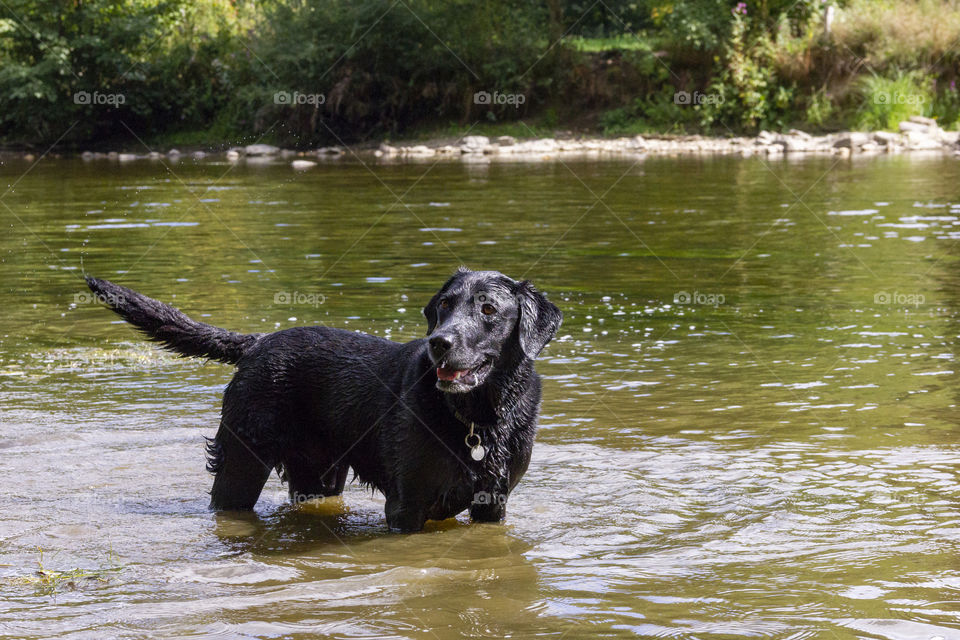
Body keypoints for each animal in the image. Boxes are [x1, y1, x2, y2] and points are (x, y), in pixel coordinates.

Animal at [86, 268, 564, 532]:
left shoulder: (494, 504)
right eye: (444, 306)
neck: (479, 417)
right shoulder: (405, 506)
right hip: (241, 462)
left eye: (488, 310)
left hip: (319, 477)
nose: (439, 343)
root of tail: (258, 342)